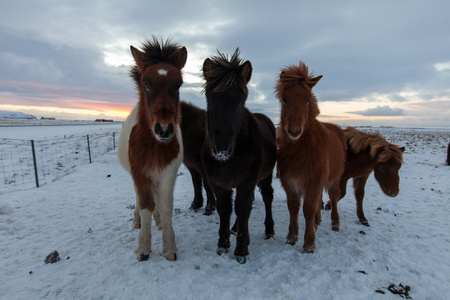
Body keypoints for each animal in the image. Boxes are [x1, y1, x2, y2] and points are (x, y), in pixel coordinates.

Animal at [118, 38, 186, 262]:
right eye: (146, 83)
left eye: (179, 84)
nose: (164, 129)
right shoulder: (140, 174)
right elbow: (146, 205)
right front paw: (143, 248)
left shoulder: (168, 173)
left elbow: (165, 207)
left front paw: (170, 247)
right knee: (140, 200)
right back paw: (137, 221)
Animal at [201, 48, 278, 262]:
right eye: (210, 99)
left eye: (241, 101)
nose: (221, 149)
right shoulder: (218, 183)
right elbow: (225, 209)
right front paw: (223, 244)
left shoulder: (247, 181)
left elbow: (243, 209)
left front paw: (241, 250)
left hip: (266, 176)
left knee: (267, 196)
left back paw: (269, 230)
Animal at [276, 61, 346, 253]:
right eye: (284, 98)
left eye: (307, 99)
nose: (294, 131)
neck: (303, 149)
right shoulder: (291, 183)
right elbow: (294, 208)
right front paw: (291, 237)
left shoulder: (313, 183)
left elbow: (308, 209)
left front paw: (309, 243)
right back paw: (317, 222)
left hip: (334, 179)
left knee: (333, 198)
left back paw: (335, 223)